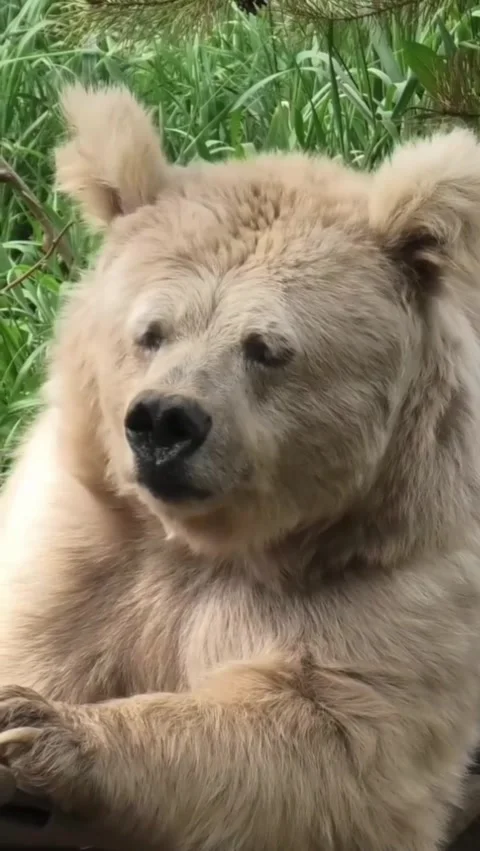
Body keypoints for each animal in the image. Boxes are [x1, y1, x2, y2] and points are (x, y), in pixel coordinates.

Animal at [1, 83, 480, 851]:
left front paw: (39, 731)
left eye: (266, 347)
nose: (164, 421)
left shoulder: (396, 569)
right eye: (150, 331)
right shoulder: (79, 542)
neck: (212, 543)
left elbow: (331, 746)